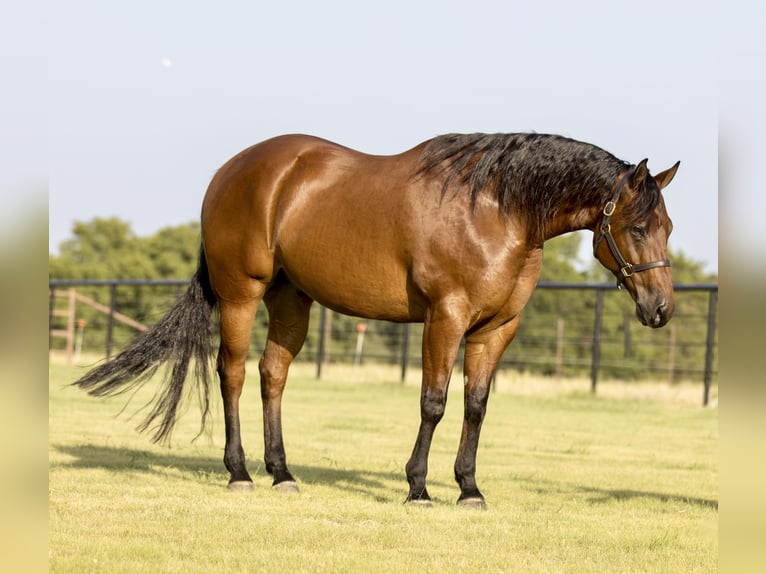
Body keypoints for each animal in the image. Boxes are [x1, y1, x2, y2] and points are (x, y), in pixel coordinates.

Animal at [72, 133, 680, 510]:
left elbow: (476, 406)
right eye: (637, 226)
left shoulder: (496, 328)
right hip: (241, 294)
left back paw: (282, 473)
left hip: (291, 300)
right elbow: (434, 402)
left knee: (273, 375)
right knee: (234, 374)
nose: (661, 309)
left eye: (668, 226)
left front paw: (469, 489)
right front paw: (418, 488)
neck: (496, 210)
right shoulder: (446, 317)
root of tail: (231, 171)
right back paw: (240, 473)